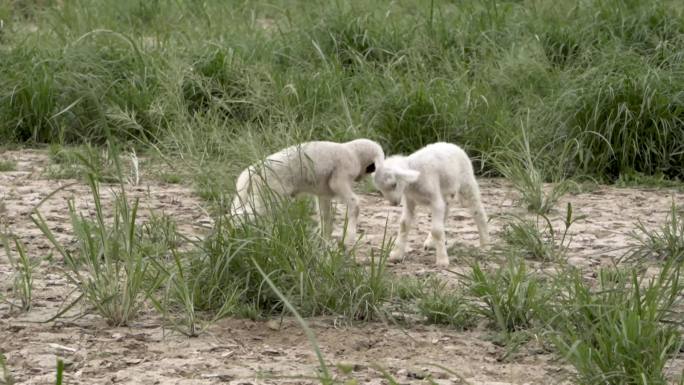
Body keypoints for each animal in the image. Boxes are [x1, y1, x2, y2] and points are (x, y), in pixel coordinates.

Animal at [227, 138, 382, 246]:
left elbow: (325, 217)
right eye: (371, 168)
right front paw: (350, 238)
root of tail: (252, 171)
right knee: (242, 214)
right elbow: (354, 203)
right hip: (271, 196)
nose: (360, 178)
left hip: (260, 195)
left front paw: (325, 242)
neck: (353, 151)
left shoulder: (323, 194)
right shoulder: (342, 175)